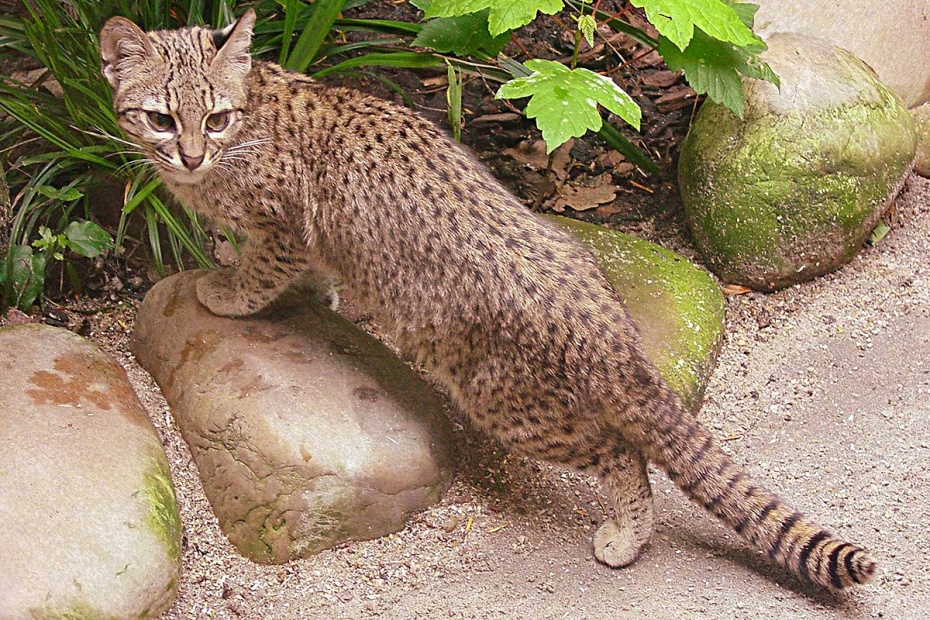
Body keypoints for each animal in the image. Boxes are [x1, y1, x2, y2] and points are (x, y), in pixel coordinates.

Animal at [101, 10, 876, 592]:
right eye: (161, 118)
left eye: (216, 118)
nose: (191, 156)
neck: (254, 108)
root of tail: (605, 327)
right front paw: (314, 292)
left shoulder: (281, 227)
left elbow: (261, 275)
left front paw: (226, 291)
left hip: (507, 403)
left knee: (622, 452)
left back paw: (626, 535)